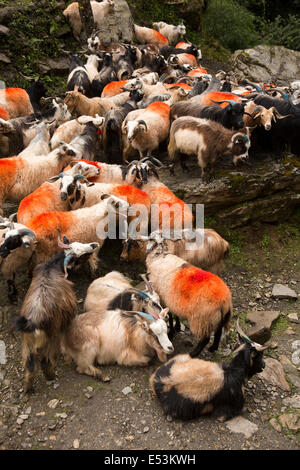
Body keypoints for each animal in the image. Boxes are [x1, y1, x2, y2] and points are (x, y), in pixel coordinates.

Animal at [14, 232, 99, 392]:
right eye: (80, 255)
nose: (94, 245)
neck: (52, 267)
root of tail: (31, 323)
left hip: (27, 345)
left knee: (30, 367)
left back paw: (29, 389)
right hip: (51, 338)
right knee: (45, 362)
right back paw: (51, 377)